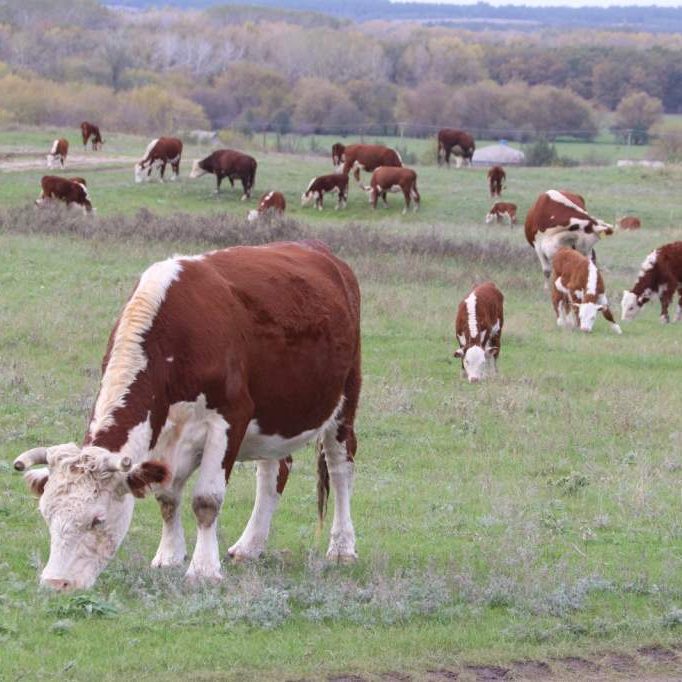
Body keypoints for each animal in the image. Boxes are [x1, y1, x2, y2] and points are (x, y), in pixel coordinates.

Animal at [12, 240, 361, 591]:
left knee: (340, 467)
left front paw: (203, 569)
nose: (55, 583)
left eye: (97, 519)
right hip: (275, 414)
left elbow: (206, 500)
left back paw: (342, 548)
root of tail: (318, 249)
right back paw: (249, 546)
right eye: (47, 515)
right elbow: (166, 497)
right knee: (274, 470)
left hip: (345, 400)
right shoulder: (161, 432)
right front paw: (169, 556)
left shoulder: (230, 417)